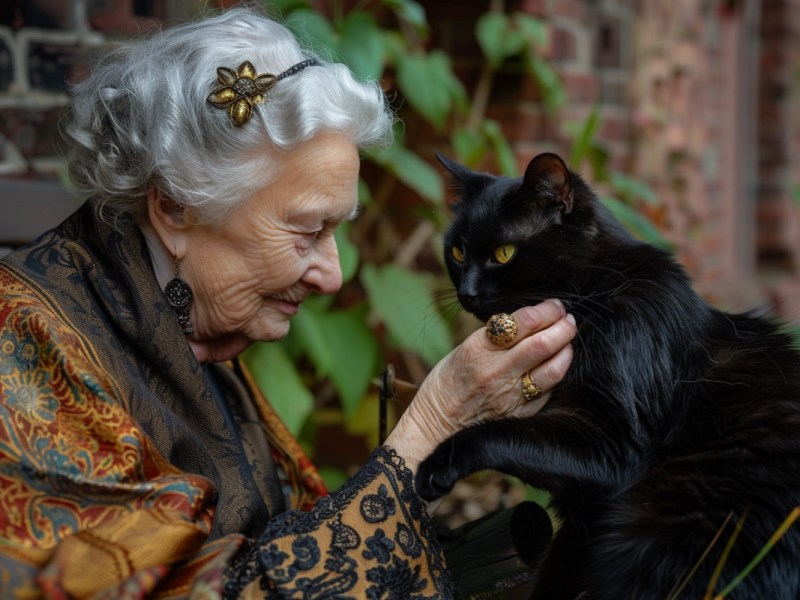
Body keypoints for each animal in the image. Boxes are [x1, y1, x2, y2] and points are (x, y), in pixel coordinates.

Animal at [416, 152, 800, 596]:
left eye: (504, 253)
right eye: (458, 253)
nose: (467, 292)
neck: (596, 290)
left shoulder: (613, 442)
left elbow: (499, 433)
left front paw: (436, 466)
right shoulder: (580, 519)